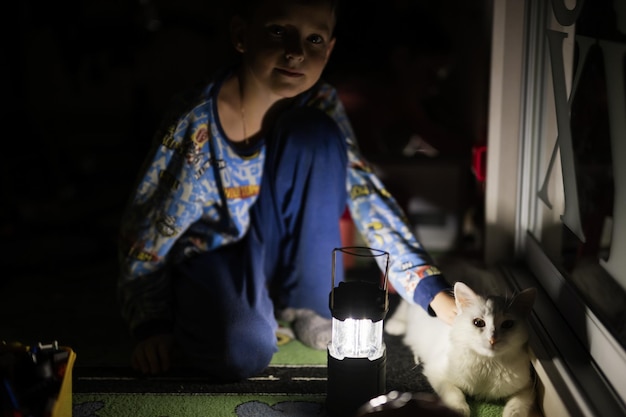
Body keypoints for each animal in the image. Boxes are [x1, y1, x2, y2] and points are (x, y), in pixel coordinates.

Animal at [386, 282, 536, 414]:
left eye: (507, 324)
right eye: (478, 323)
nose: (492, 339)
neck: (487, 364)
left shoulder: (526, 388)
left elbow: (517, 406)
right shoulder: (438, 374)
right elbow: (455, 395)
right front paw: (459, 411)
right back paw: (395, 326)